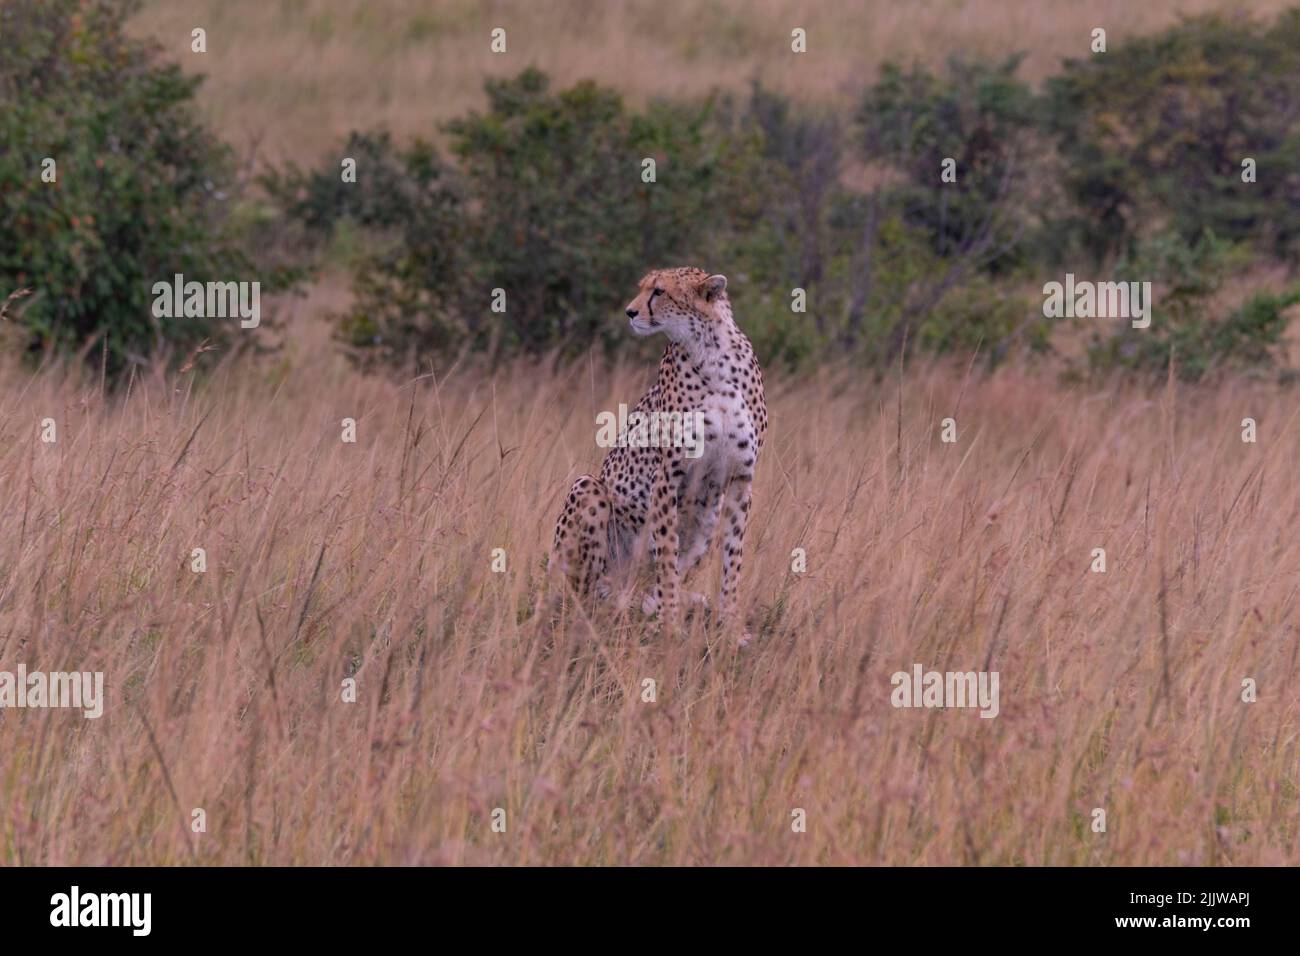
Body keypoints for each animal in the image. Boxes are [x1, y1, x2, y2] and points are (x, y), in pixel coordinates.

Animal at [551, 269, 769, 639]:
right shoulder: (668, 476)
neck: (711, 351)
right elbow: (667, 554)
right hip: (588, 491)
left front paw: (729, 624)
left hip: (708, 516)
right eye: (642, 288)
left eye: (659, 292)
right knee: (587, 591)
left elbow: (733, 558)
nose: (629, 312)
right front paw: (670, 623)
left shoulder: (741, 478)